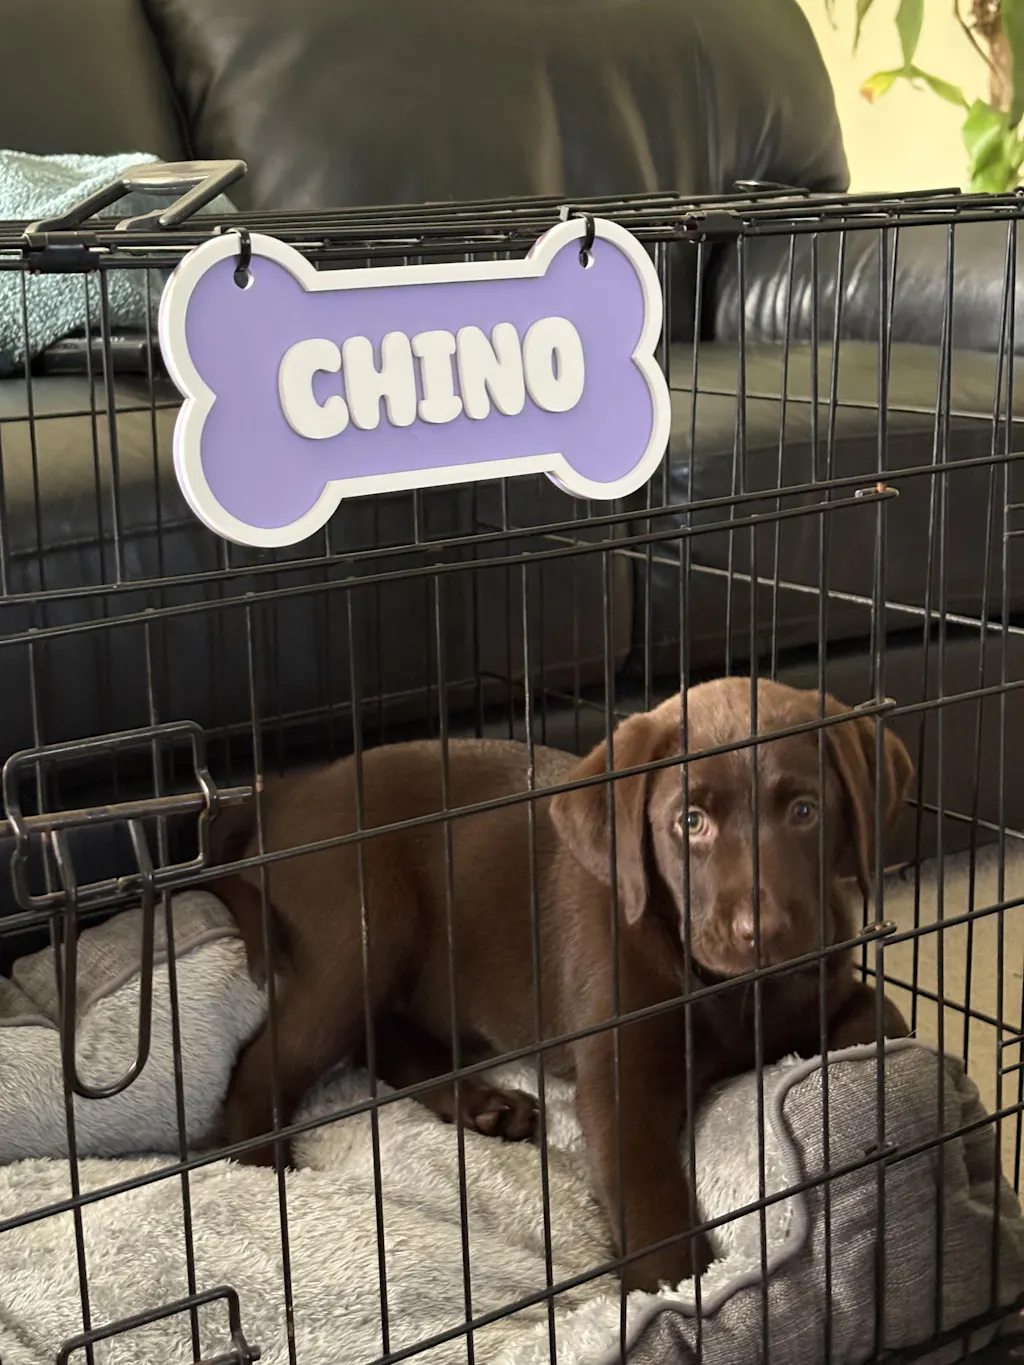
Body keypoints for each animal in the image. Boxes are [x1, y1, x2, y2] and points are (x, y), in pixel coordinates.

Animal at [207, 678, 913, 1292]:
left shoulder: (826, 983)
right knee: (268, 1062)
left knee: (385, 1039)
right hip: (365, 932)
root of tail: (284, 793)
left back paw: (485, 1104)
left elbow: (884, 1022)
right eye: (690, 822)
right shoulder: (622, 1082)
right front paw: (680, 1298)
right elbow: (655, 1217)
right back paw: (261, 1184)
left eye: (804, 812)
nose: (760, 931)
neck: (733, 991)